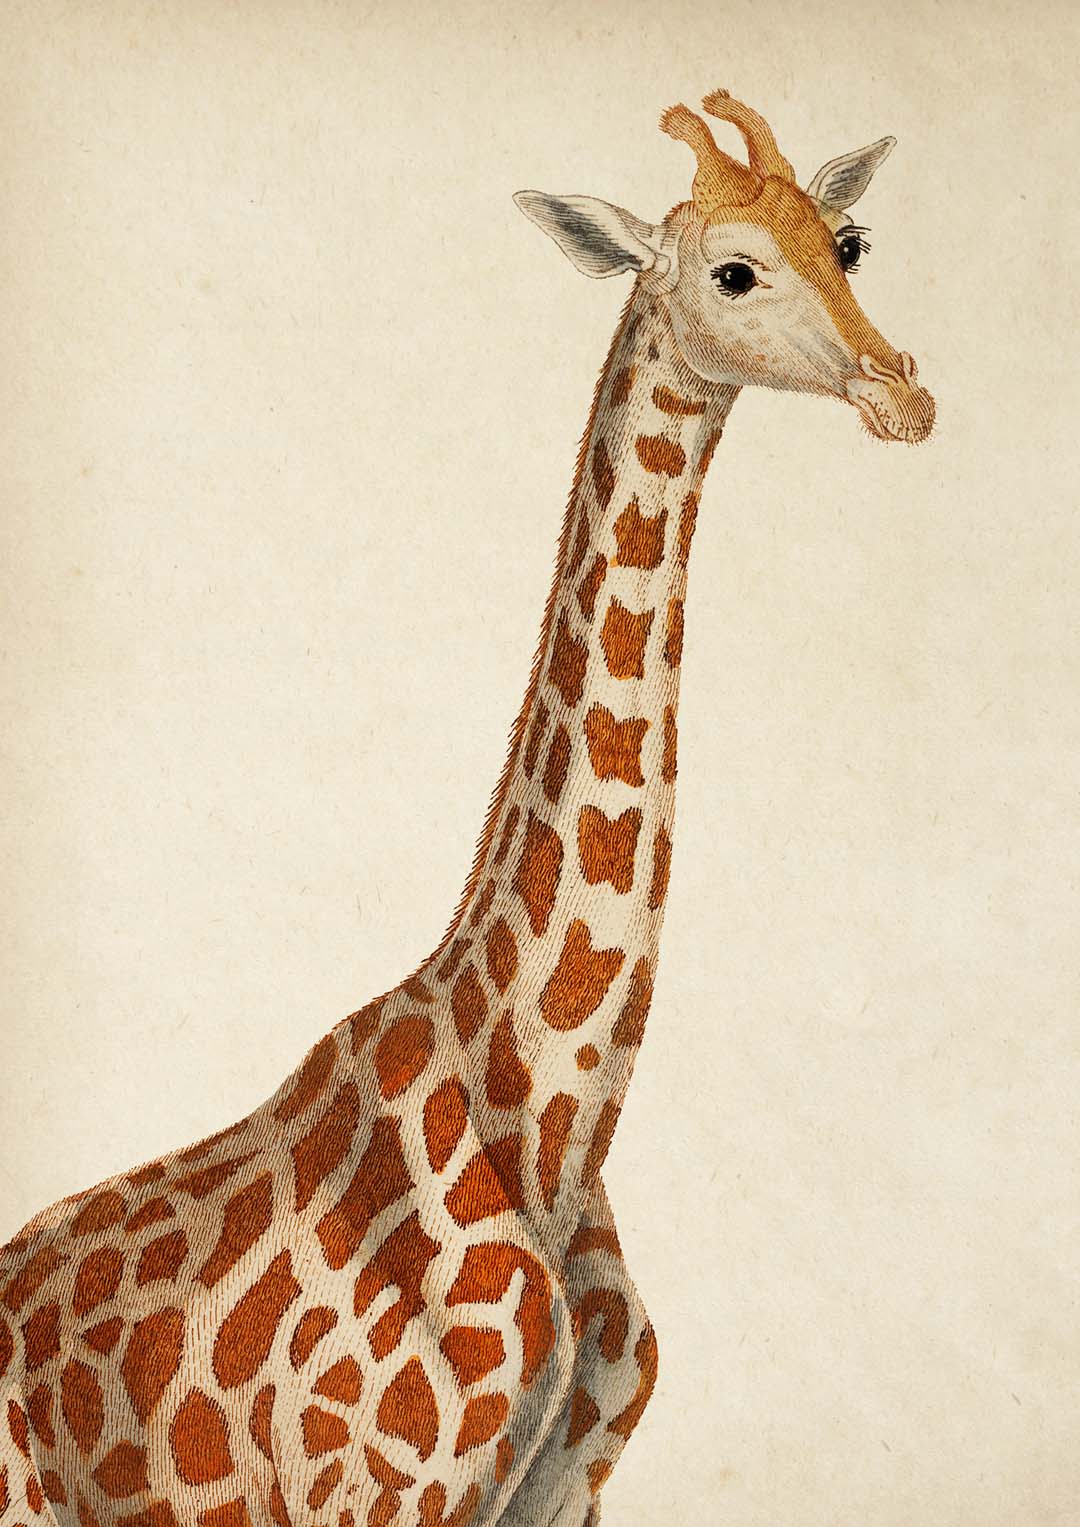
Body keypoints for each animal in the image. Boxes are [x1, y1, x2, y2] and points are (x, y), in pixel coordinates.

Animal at [0, 90, 934, 1527]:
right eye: (733, 271)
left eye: (851, 241)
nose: (905, 394)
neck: (554, 1124)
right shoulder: (378, 1491)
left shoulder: (564, 1489)